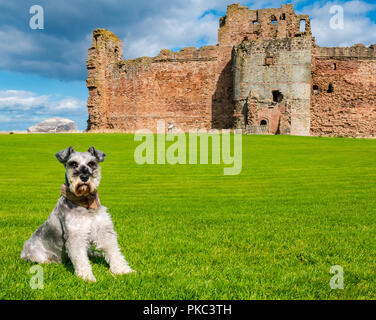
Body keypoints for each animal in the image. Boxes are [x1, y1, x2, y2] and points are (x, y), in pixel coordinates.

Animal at [20, 146, 134, 282]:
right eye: (73, 164)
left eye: (92, 163)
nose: (84, 177)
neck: (85, 203)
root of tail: (23, 252)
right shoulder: (76, 234)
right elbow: (80, 257)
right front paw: (86, 276)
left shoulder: (104, 231)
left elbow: (113, 251)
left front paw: (123, 270)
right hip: (35, 252)